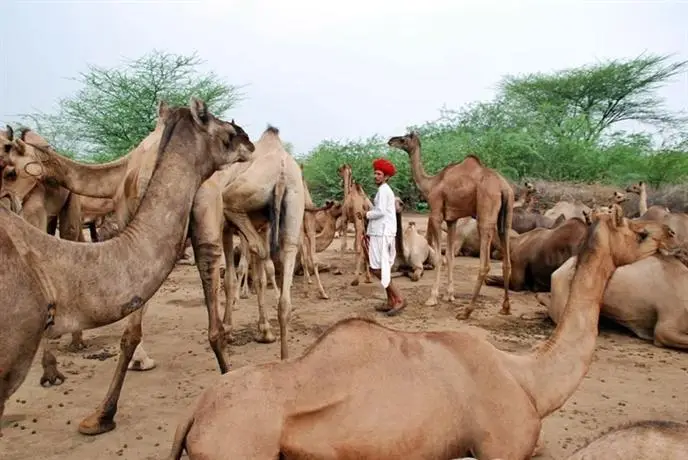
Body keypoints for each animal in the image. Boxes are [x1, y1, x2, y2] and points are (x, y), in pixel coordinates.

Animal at [388, 132, 510, 320]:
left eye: (403, 139)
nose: (390, 141)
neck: (431, 184)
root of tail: (503, 188)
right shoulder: (452, 219)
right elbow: (451, 257)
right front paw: (449, 295)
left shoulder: (436, 214)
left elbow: (440, 257)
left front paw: (432, 298)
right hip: (506, 215)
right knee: (507, 260)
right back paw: (505, 308)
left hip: (486, 212)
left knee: (485, 264)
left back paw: (466, 311)